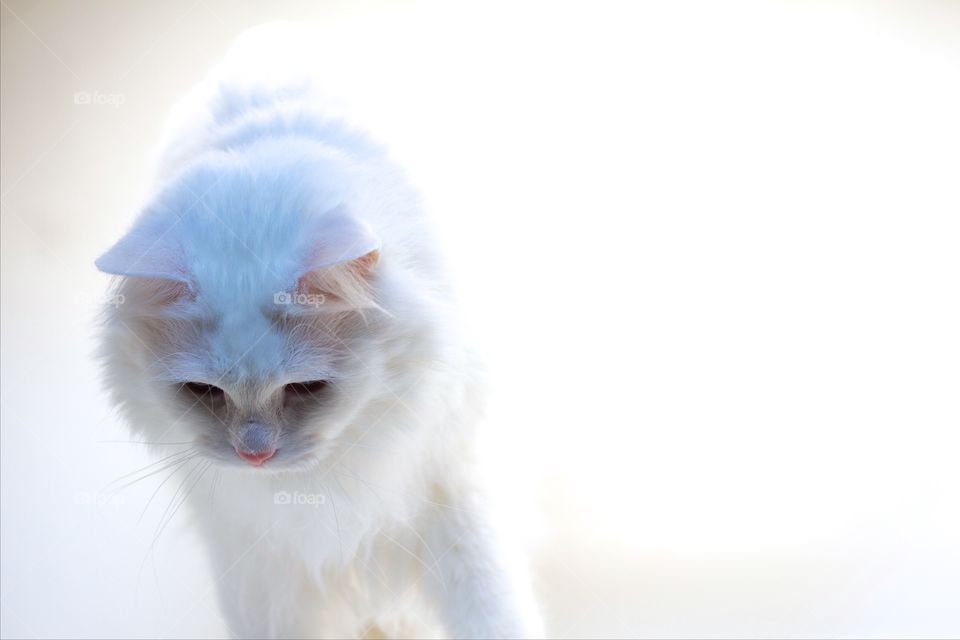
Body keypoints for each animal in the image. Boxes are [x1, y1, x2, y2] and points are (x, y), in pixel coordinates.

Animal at [101, 26, 544, 640]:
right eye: (204, 392)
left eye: (306, 388)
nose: (255, 455)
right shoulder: (265, 570)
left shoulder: (457, 502)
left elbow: (494, 614)